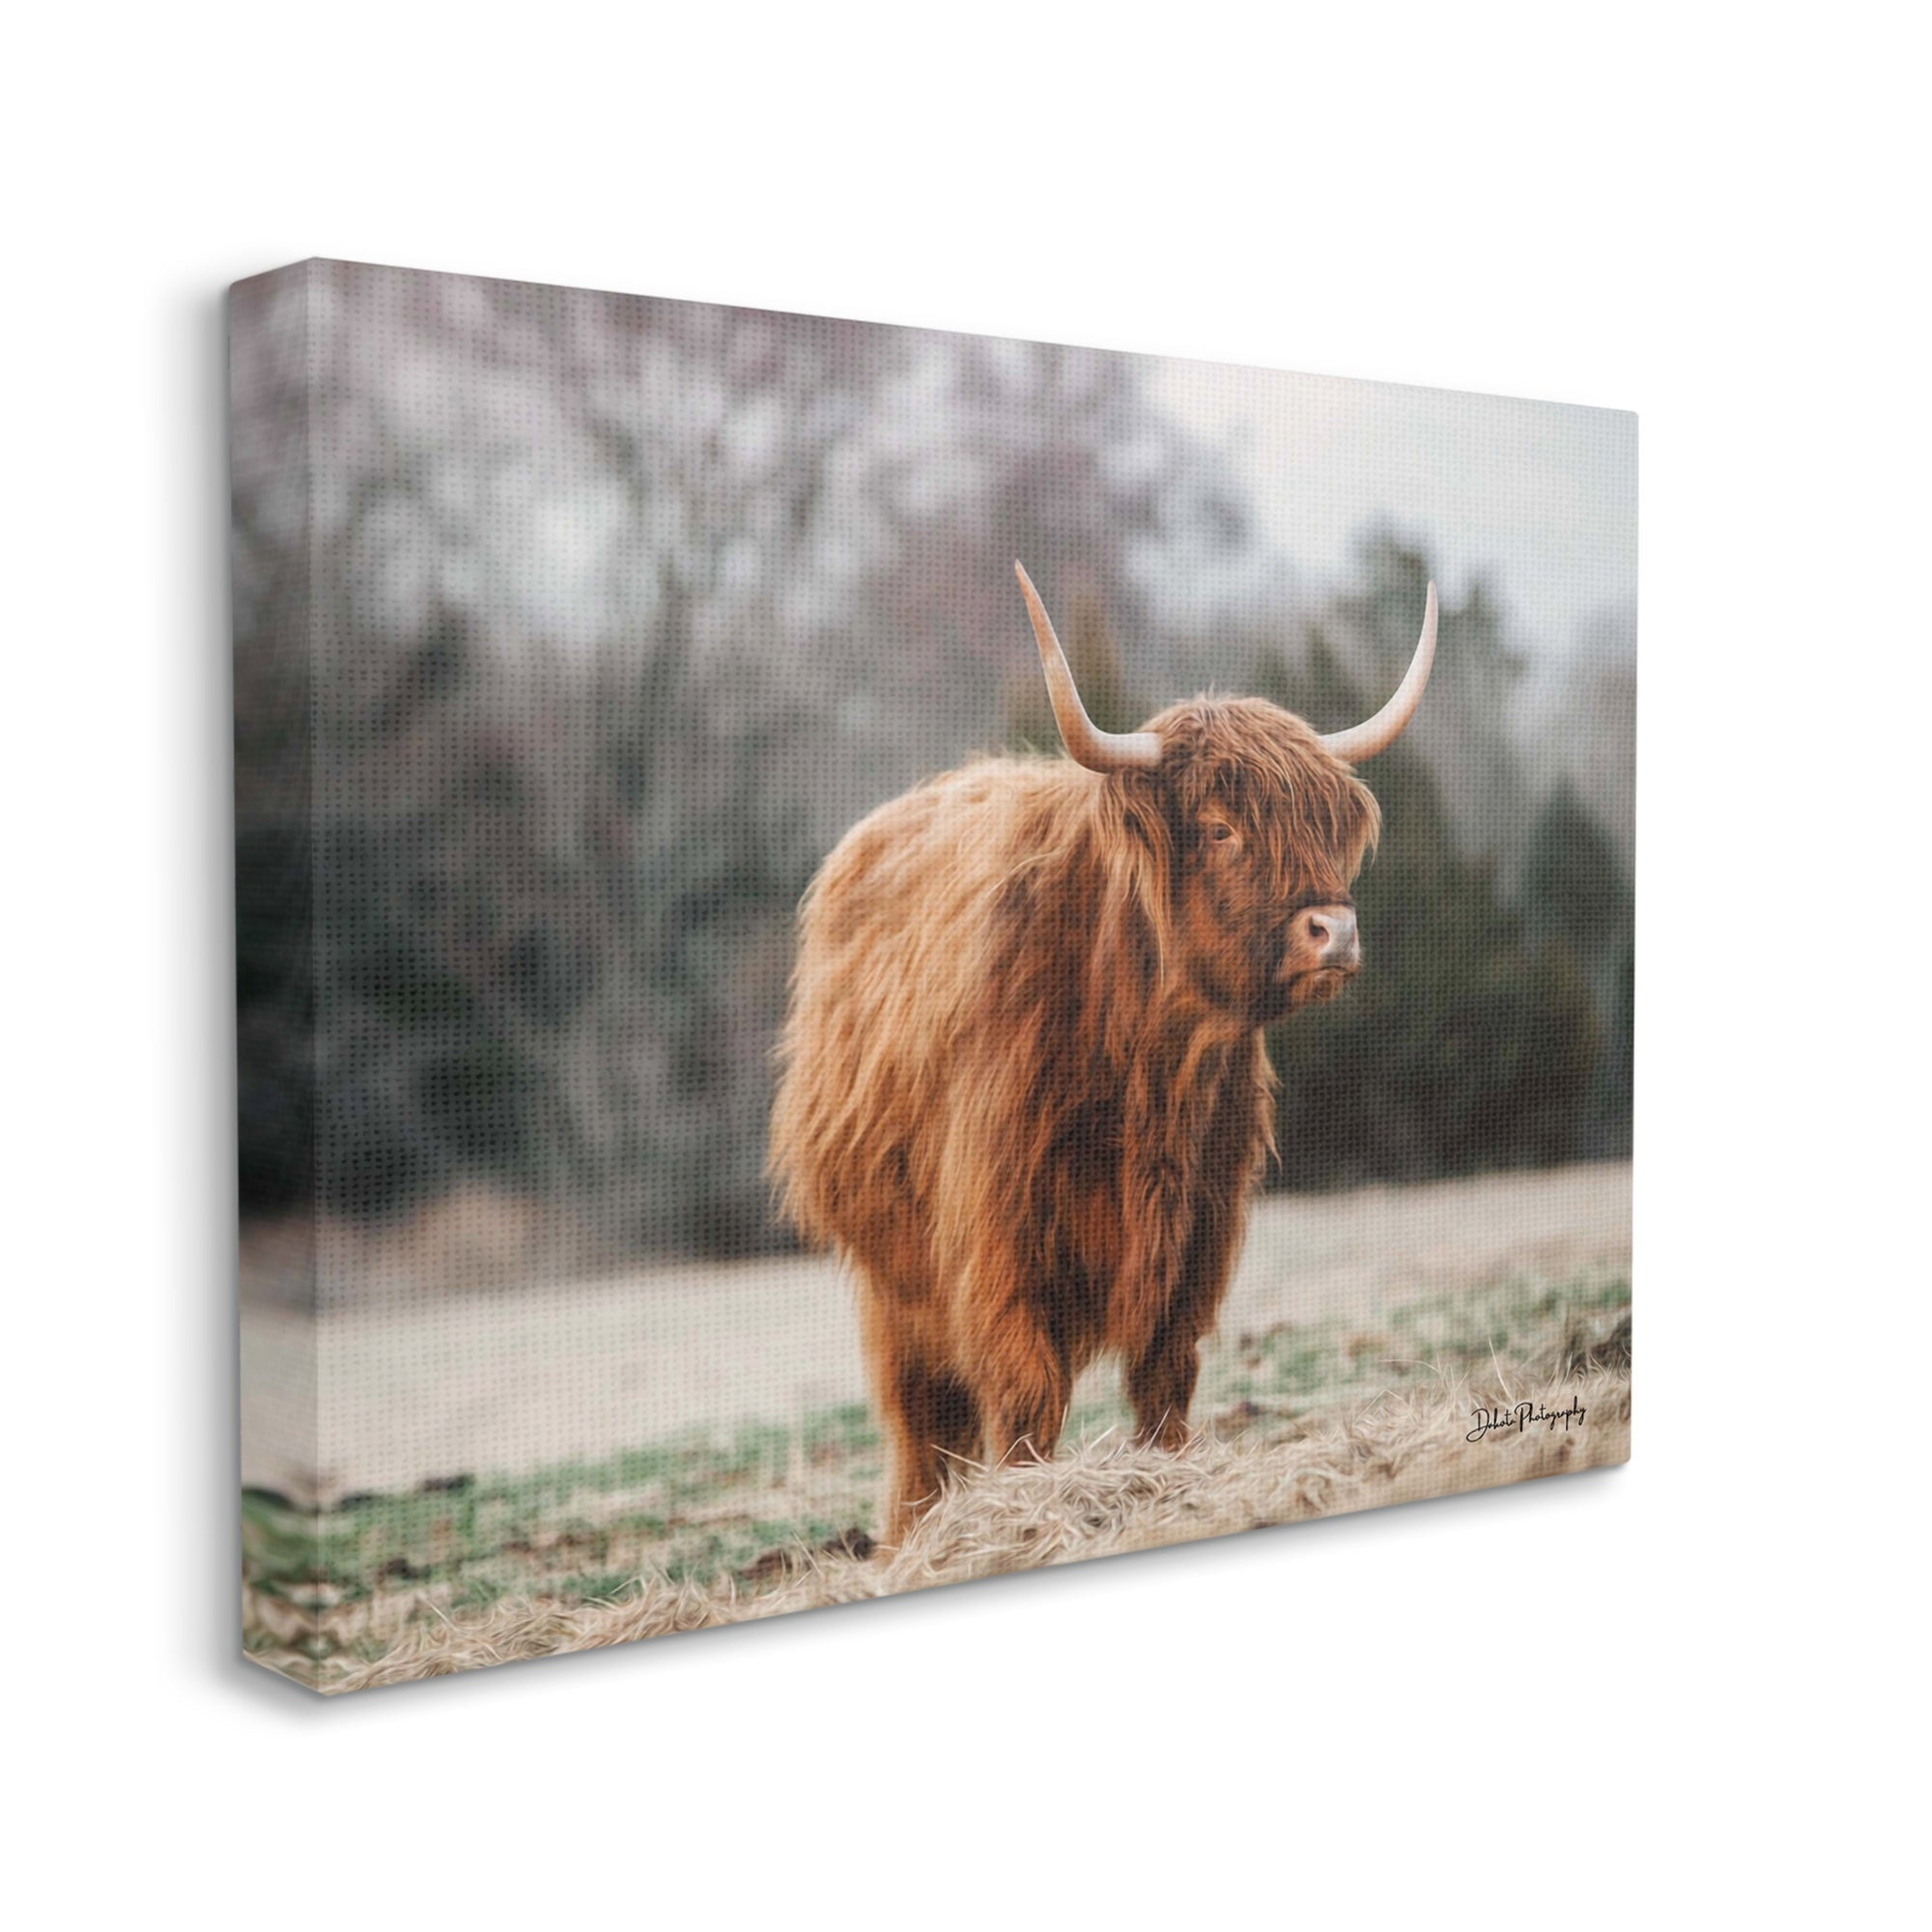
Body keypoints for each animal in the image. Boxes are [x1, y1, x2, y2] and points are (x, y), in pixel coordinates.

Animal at [770, 561, 1438, 1543]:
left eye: (1322, 825)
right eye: (1220, 827)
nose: (1335, 931)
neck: (1152, 1060)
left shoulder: (1203, 1224)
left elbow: (1166, 1375)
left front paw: (1165, 1479)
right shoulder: (998, 1234)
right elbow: (1025, 1389)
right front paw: (1028, 1512)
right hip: (893, 1277)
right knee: (919, 1418)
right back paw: (914, 1537)